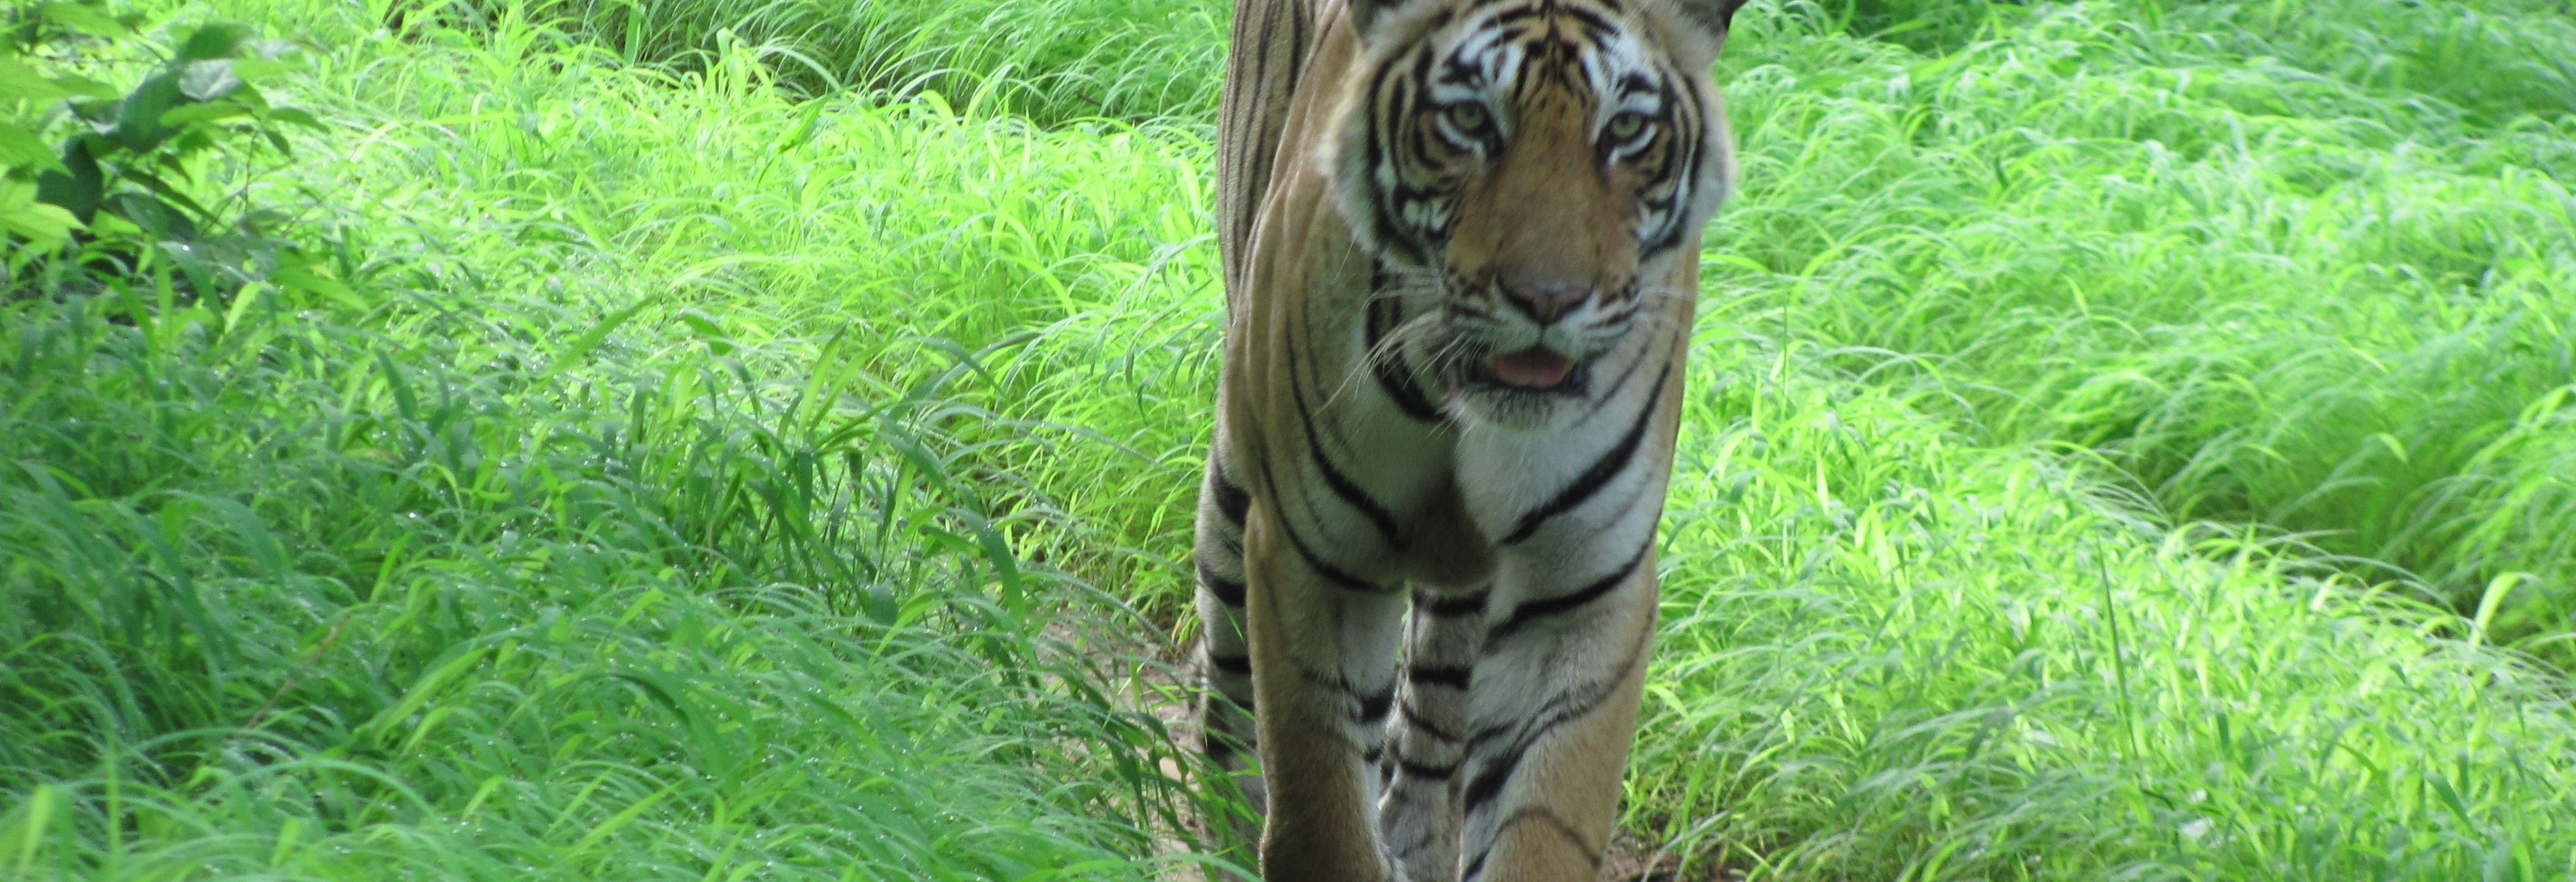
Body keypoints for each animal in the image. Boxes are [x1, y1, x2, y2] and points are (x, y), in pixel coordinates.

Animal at [1189, 0, 1748, 878]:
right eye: (1468, 121)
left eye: (1626, 129)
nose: (1547, 299)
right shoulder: (1314, 560)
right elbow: (1322, 818)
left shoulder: (1582, 591)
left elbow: (1539, 828)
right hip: (1237, 478)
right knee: (1228, 675)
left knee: (1429, 720)